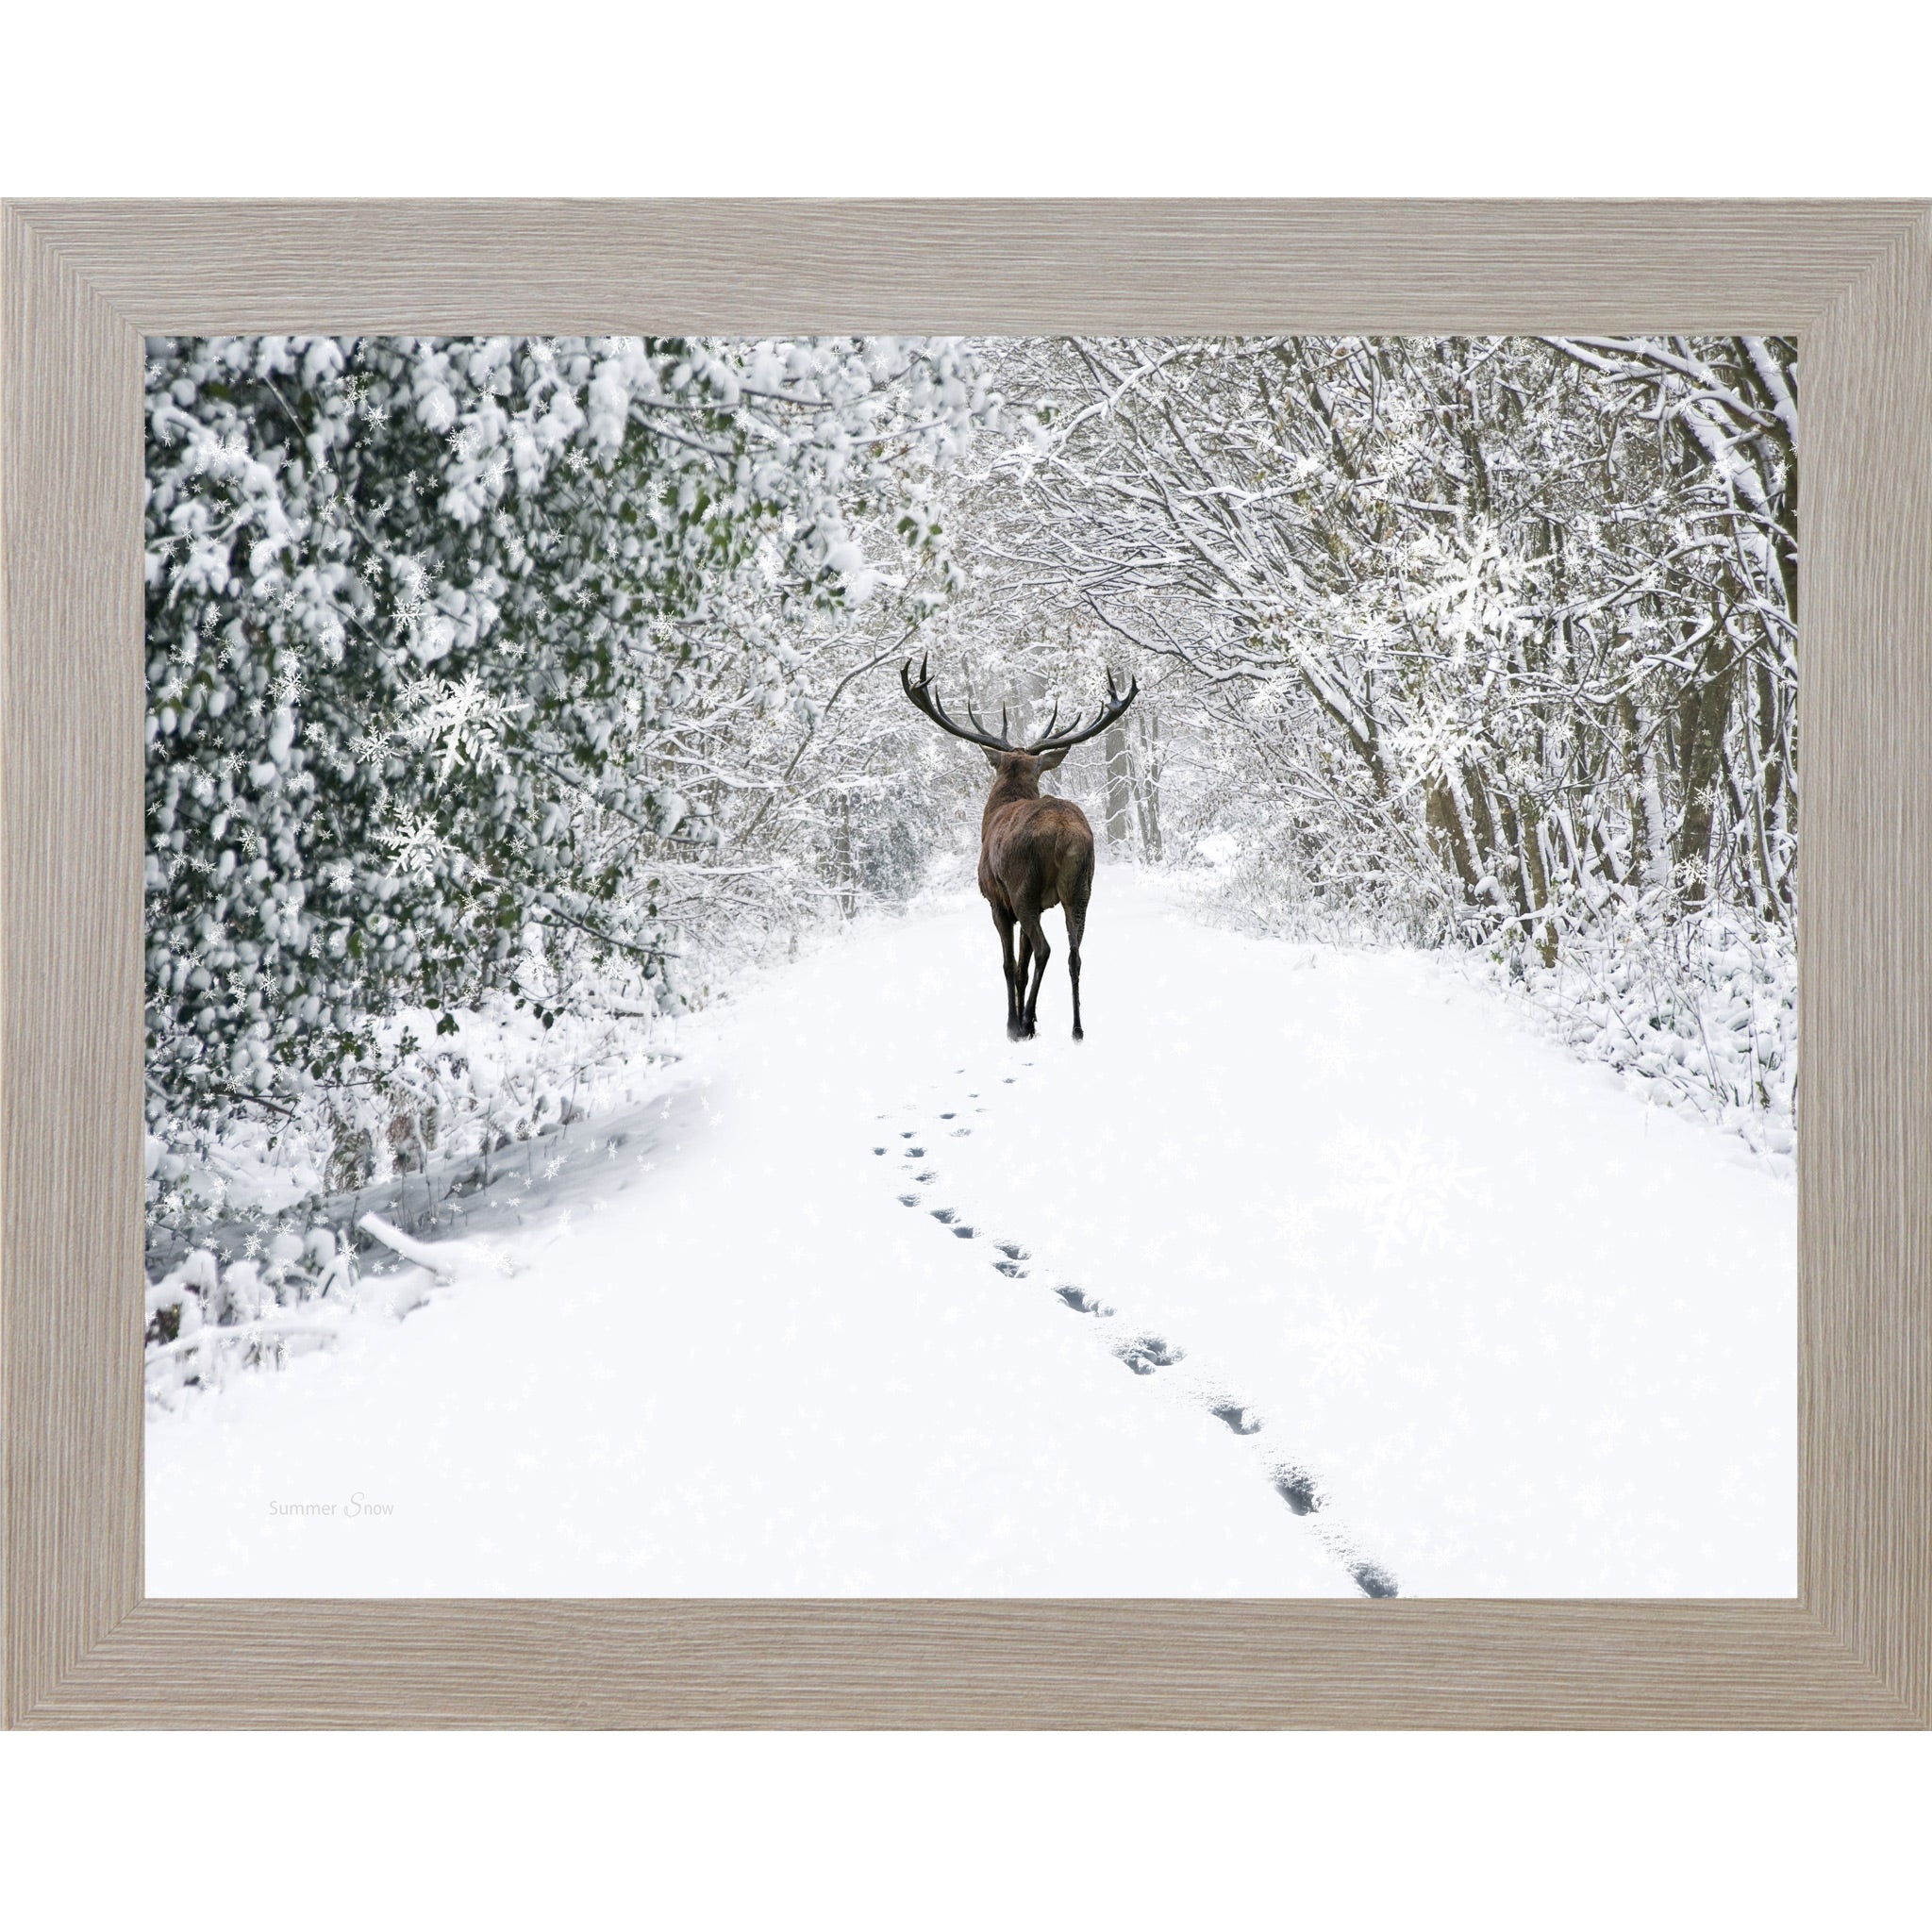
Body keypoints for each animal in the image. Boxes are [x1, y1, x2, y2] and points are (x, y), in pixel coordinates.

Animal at [900, 656, 1139, 1041]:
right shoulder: (1041, 904)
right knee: (1075, 953)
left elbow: (1010, 964)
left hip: (1023, 886)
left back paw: (1024, 1022)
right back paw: (1076, 1028)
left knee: (1045, 949)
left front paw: (1013, 1023)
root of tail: (1065, 835)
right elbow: (1023, 967)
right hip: (1081, 888)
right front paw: (1033, 1018)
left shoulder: (998, 901)